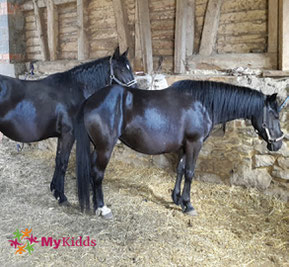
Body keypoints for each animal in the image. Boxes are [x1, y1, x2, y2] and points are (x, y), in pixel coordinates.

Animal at [0, 46, 136, 205]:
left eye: (129, 67)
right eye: (120, 69)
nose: (136, 89)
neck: (75, 90)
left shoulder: (62, 135)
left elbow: (58, 159)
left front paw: (54, 189)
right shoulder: (68, 134)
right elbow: (63, 162)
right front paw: (61, 196)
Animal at [74, 80, 284, 219]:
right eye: (274, 115)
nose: (278, 143)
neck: (202, 104)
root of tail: (90, 101)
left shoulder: (184, 146)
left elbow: (180, 169)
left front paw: (176, 199)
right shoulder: (194, 144)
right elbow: (190, 173)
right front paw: (188, 205)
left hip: (97, 147)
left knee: (93, 171)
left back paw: (95, 203)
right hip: (105, 147)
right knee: (98, 173)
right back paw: (103, 208)